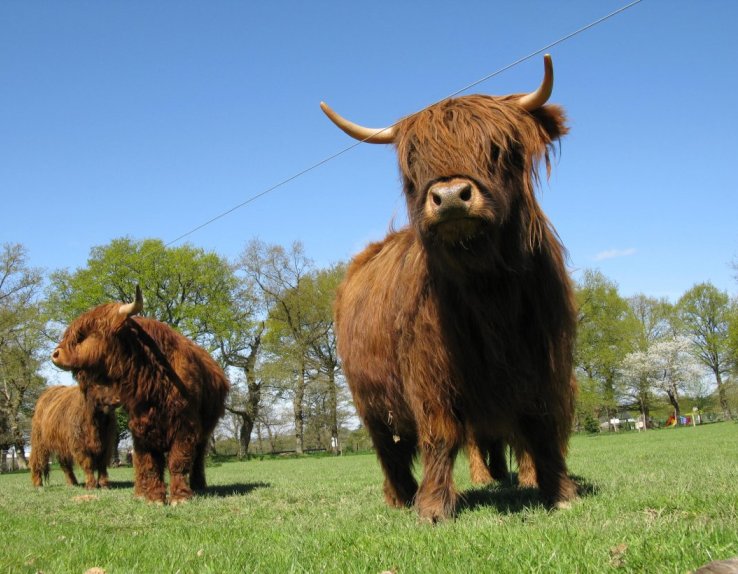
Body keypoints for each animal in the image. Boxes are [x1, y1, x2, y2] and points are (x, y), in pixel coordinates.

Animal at [50, 288, 229, 504]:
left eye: (86, 333)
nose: (55, 354)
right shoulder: (141, 427)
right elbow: (149, 463)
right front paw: (154, 498)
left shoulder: (185, 426)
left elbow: (178, 461)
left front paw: (180, 497)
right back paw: (139, 492)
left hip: (204, 432)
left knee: (198, 457)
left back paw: (198, 485)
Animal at [322, 57, 576, 520]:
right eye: (413, 164)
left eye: (500, 149)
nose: (451, 196)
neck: (488, 290)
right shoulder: (429, 372)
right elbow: (440, 434)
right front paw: (433, 508)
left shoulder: (544, 361)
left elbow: (542, 427)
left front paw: (560, 492)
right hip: (371, 401)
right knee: (390, 450)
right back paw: (402, 496)